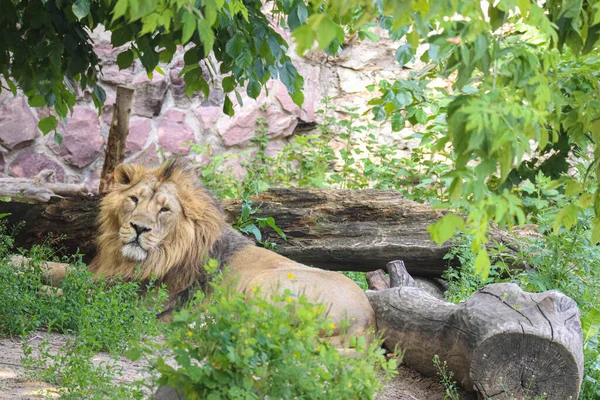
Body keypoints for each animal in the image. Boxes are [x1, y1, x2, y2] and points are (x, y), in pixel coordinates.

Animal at [22, 161, 376, 342]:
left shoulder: (137, 303)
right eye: (134, 200)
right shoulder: (105, 274)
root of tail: (367, 322)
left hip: (265, 284)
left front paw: (37, 292)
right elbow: (62, 271)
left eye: (164, 210)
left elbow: (77, 295)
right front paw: (19, 265)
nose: (139, 228)